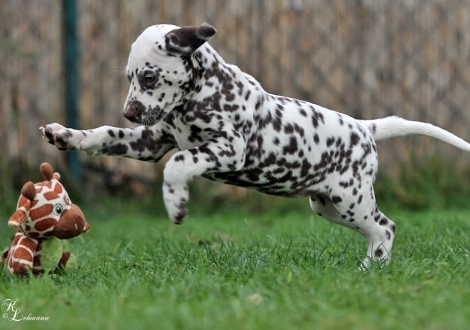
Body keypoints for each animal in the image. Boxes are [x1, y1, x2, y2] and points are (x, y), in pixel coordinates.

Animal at [41, 21, 470, 266]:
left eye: (148, 77)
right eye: (129, 77)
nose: (129, 112)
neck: (200, 95)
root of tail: (366, 128)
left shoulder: (229, 148)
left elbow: (179, 163)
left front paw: (176, 203)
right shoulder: (150, 141)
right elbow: (105, 136)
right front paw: (66, 134)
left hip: (351, 200)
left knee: (385, 228)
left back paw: (372, 269)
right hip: (327, 206)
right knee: (377, 228)